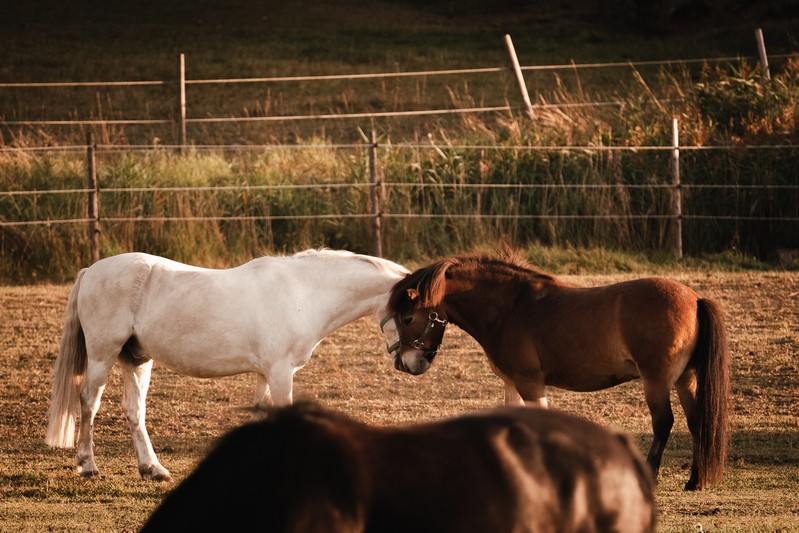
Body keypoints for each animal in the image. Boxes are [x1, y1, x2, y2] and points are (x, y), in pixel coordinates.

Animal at [46, 247, 410, 480]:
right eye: (411, 316)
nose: (414, 363)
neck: (303, 294)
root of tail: (91, 271)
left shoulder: (267, 374)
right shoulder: (281, 373)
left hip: (136, 359)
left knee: (134, 410)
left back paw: (152, 469)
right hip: (102, 355)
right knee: (89, 403)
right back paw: (88, 465)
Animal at [384, 255, 736, 490]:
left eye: (407, 318)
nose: (404, 363)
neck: (511, 309)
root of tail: (695, 298)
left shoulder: (530, 382)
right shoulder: (513, 383)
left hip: (656, 381)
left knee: (664, 423)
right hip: (685, 379)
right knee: (697, 422)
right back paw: (695, 480)